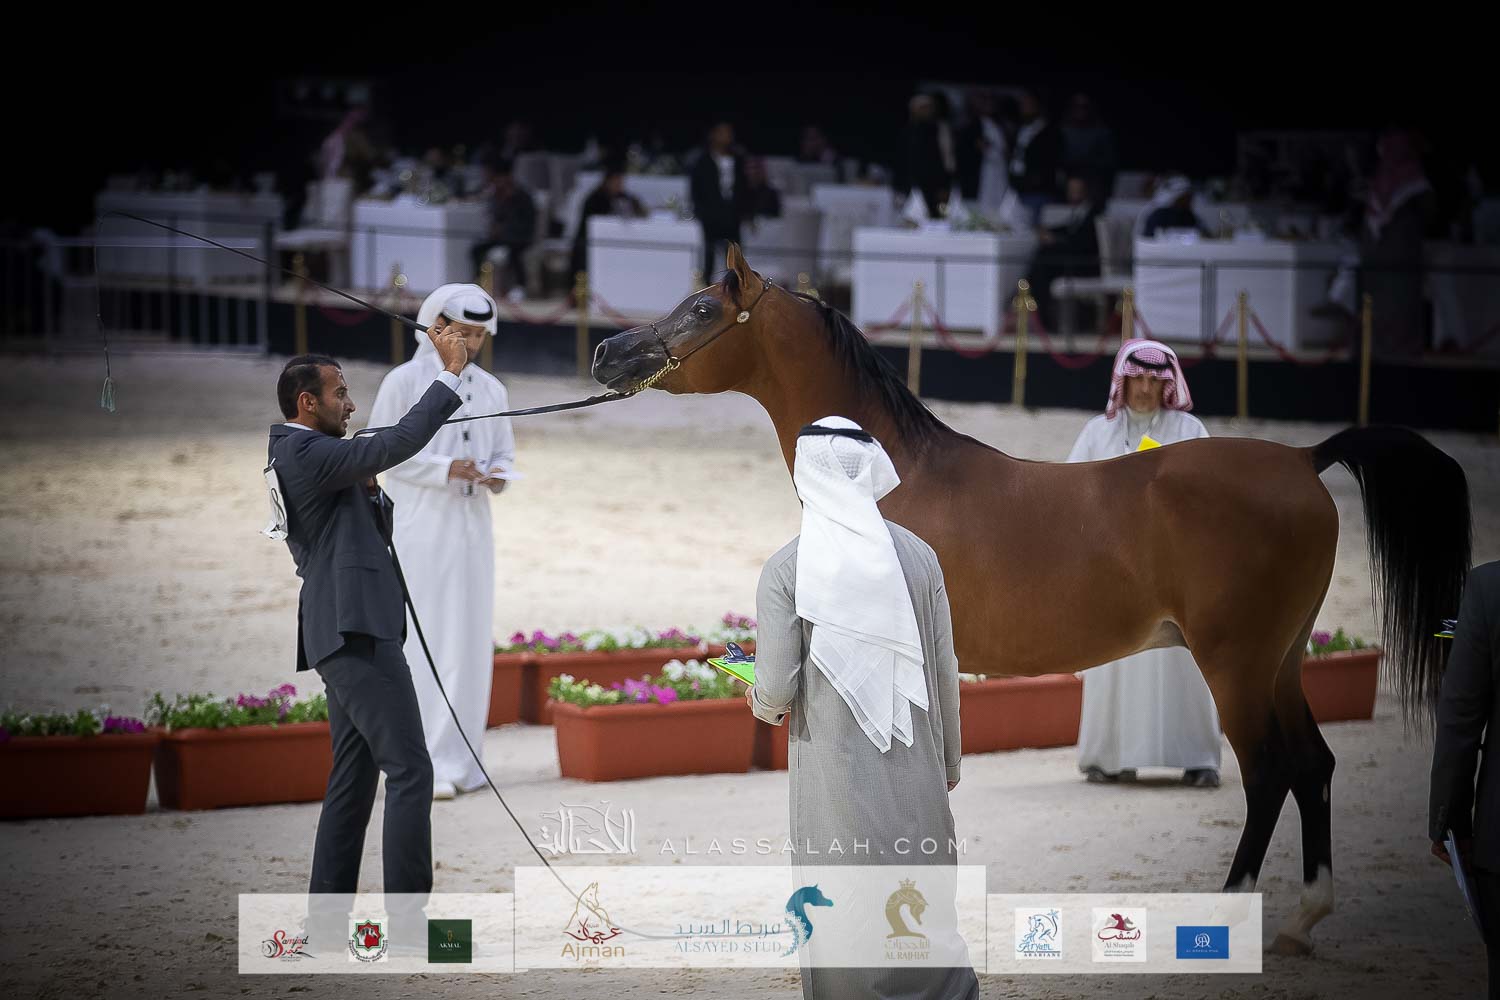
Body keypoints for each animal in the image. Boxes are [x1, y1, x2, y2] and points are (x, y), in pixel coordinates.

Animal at [591, 245, 1472, 955]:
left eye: (703, 310)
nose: (606, 351)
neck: (882, 478)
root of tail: (1303, 458)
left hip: (1239, 666)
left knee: (1270, 774)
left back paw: (1228, 913)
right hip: (1283, 660)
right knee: (1315, 766)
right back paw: (1300, 921)